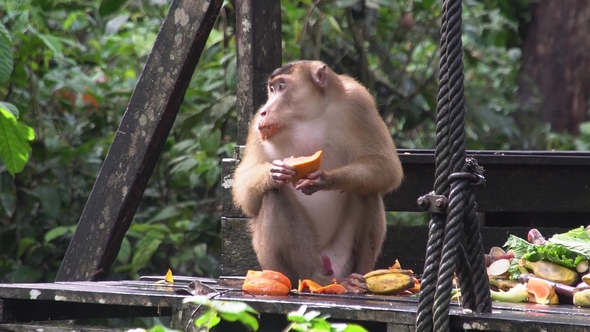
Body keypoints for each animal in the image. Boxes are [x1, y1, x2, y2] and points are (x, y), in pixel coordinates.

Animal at [234, 60, 404, 286]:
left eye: (282, 87)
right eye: (272, 89)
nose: (265, 110)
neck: (308, 117)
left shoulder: (359, 102)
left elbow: (386, 166)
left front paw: (326, 178)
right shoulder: (257, 126)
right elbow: (245, 192)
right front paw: (274, 172)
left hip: (342, 258)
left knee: (367, 189)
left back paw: (357, 278)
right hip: (285, 269)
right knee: (272, 196)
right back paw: (314, 276)